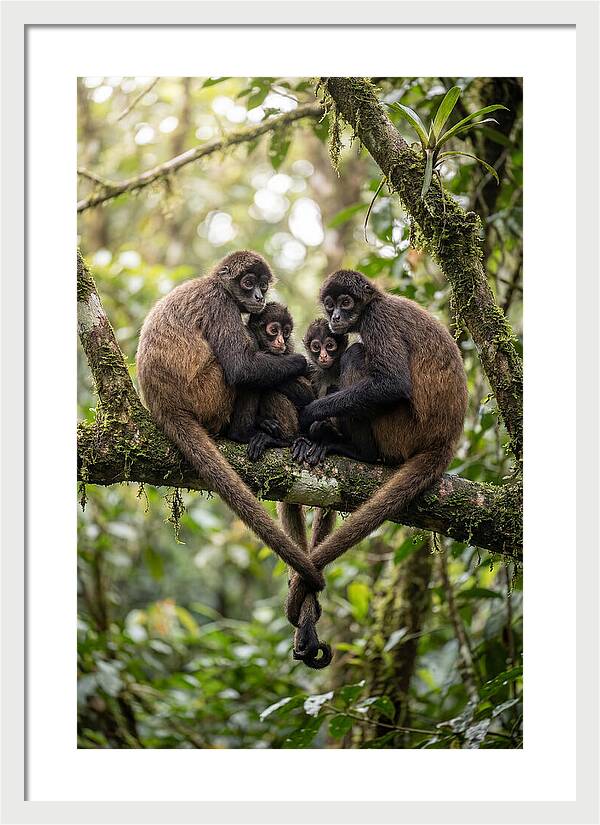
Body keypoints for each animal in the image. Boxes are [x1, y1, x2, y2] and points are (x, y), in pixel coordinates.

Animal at [136, 251, 325, 593]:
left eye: (263, 285)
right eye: (248, 283)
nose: (259, 296)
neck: (214, 283)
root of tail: (163, 405)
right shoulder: (220, 303)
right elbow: (240, 367)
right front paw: (300, 362)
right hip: (208, 395)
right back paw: (243, 433)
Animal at [286, 268, 467, 627]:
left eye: (346, 302)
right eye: (330, 305)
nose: (336, 317)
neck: (376, 302)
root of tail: (445, 440)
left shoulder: (377, 320)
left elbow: (392, 383)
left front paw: (312, 416)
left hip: (401, 429)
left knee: (357, 354)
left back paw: (355, 450)